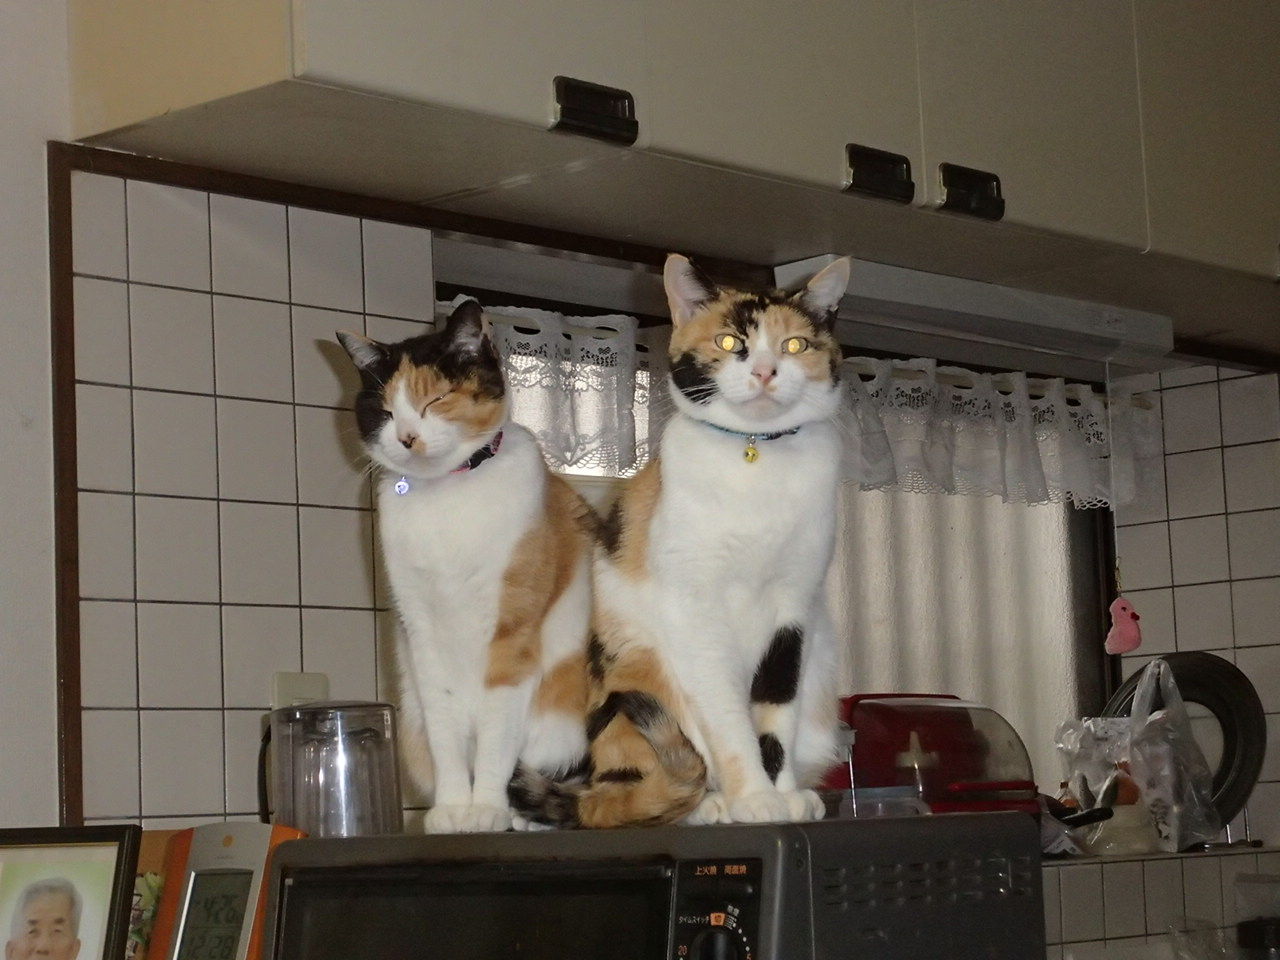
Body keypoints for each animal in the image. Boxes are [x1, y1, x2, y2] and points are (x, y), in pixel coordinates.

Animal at [337, 299, 595, 834]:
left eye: (436, 400)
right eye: (386, 411)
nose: (408, 437)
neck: (447, 494)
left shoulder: (513, 631)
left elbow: (497, 736)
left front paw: (487, 808)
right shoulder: (421, 632)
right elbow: (446, 730)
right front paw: (455, 808)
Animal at [510, 254, 852, 828]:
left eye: (794, 345)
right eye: (730, 342)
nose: (765, 371)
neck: (755, 459)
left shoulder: (794, 609)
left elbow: (775, 711)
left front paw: (779, 795)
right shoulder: (697, 609)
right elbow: (729, 719)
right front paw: (752, 798)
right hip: (636, 669)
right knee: (632, 791)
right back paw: (703, 804)